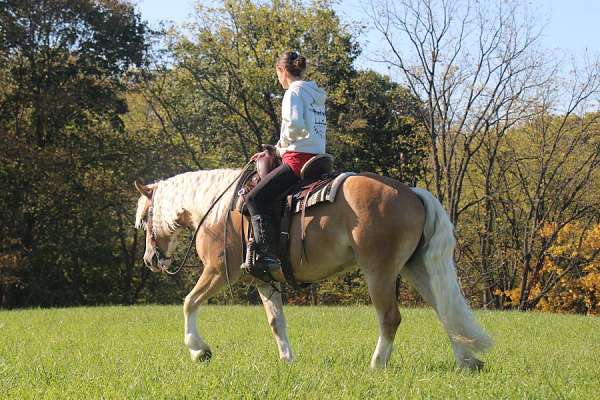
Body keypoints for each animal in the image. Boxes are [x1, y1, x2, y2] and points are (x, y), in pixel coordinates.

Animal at [135, 168, 492, 368]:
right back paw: (467, 361)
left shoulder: (218, 271)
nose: (150, 259)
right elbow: (276, 321)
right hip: (415, 269)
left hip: (379, 272)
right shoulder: (263, 279)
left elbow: (189, 303)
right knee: (444, 311)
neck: (220, 209)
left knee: (391, 318)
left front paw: (199, 351)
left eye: (144, 218)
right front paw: (287, 360)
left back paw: (377, 364)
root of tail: (412, 194)